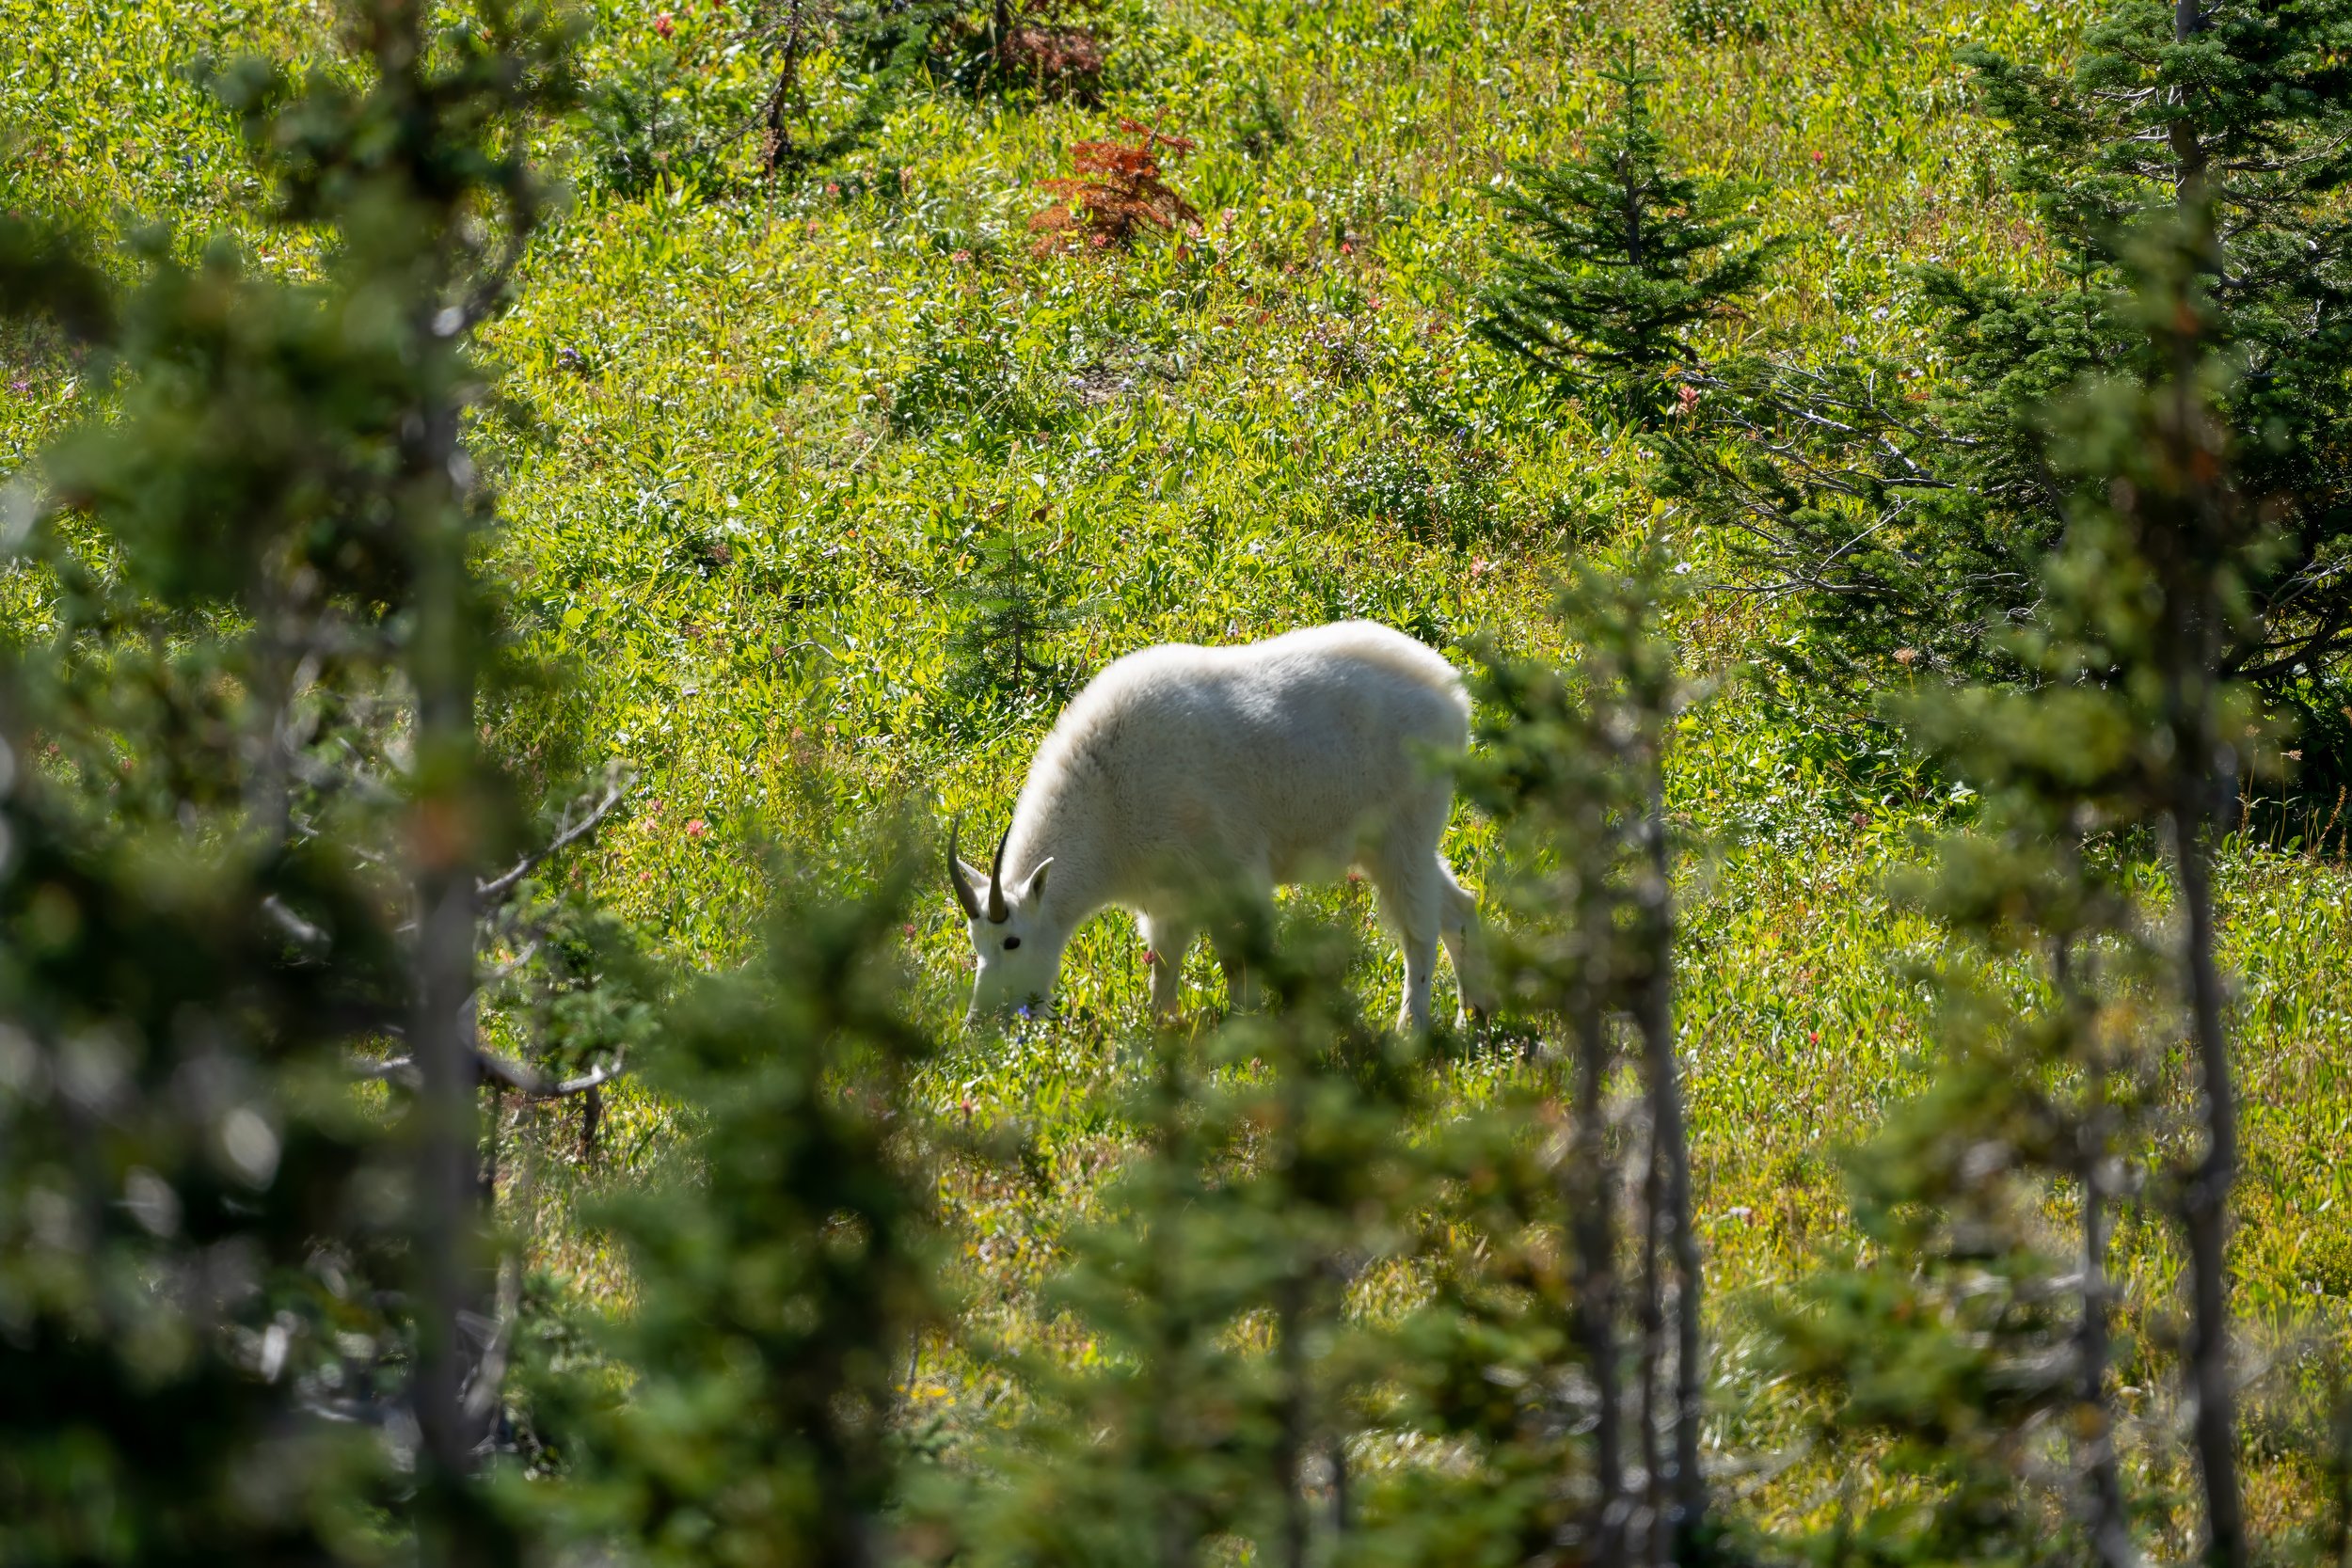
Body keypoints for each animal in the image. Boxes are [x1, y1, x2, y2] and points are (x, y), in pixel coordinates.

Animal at [947, 620, 1493, 1031]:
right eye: (976, 944)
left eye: (1013, 941)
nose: (979, 1023)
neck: (1108, 794)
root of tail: (1454, 695)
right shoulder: (1169, 901)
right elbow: (1163, 973)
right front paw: (1162, 1034)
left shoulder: (1234, 876)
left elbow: (1239, 963)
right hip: (1385, 845)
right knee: (1458, 907)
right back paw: (1475, 1017)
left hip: (1404, 833)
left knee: (1419, 931)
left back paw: (1411, 1029)